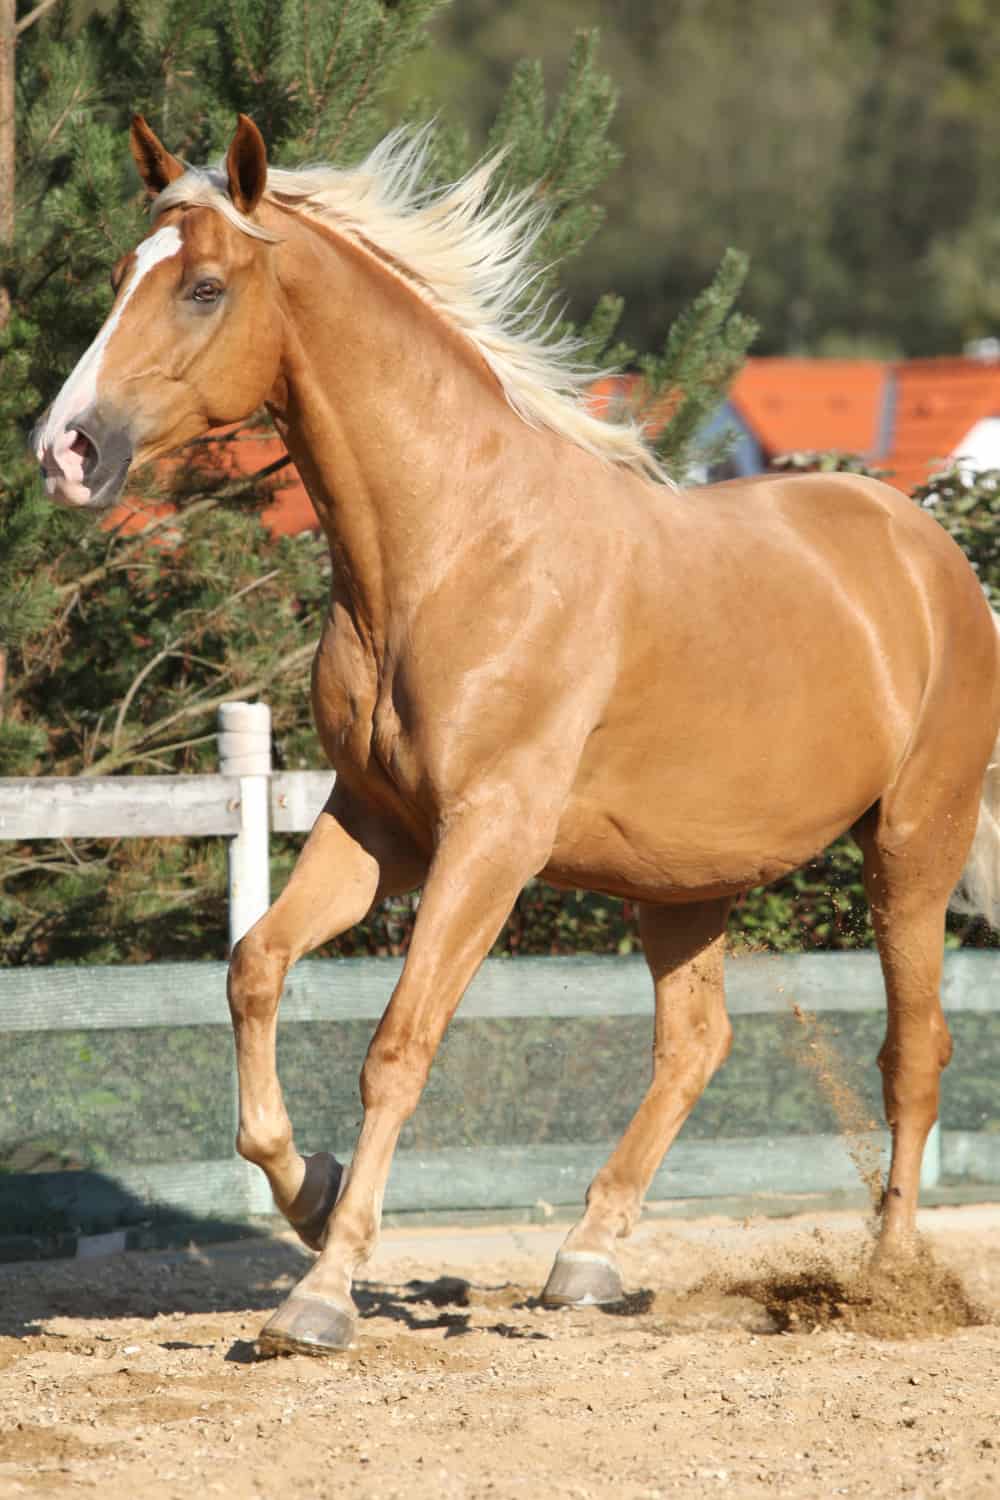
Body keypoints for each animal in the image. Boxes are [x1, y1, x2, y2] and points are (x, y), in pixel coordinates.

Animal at [34, 114, 1000, 1356]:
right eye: (120, 276)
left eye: (204, 287)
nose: (66, 449)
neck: (452, 549)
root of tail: (926, 550)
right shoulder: (380, 828)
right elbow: (255, 969)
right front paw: (309, 1194)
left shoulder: (489, 840)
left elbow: (398, 1046)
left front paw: (319, 1295)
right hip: (683, 879)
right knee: (695, 1044)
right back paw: (584, 1259)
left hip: (911, 844)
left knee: (911, 1052)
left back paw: (886, 1280)